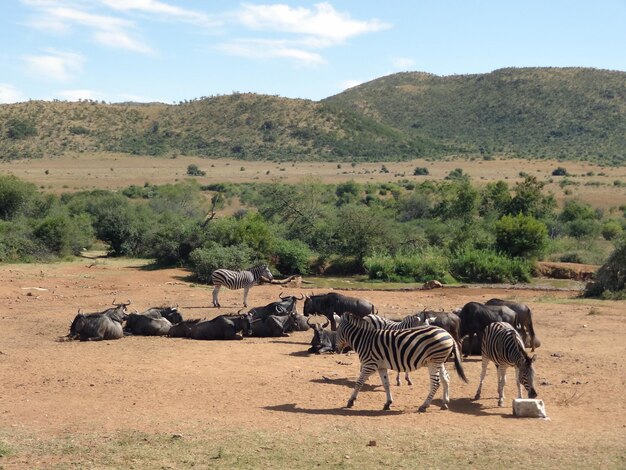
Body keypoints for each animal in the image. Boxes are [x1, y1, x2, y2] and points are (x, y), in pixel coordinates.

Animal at [336, 314, 464, 414]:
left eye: (336, 331)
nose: (336, 350)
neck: (364, 339)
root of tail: (448, 334)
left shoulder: (370, 365)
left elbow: (359, 382)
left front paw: (351, 401)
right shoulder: (381, 367)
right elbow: (386, 384)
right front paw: (388, 403)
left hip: (434, 362)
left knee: (436, 383)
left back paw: (424, 405)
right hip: (439, 361)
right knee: (446, 379)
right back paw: (445, 403)